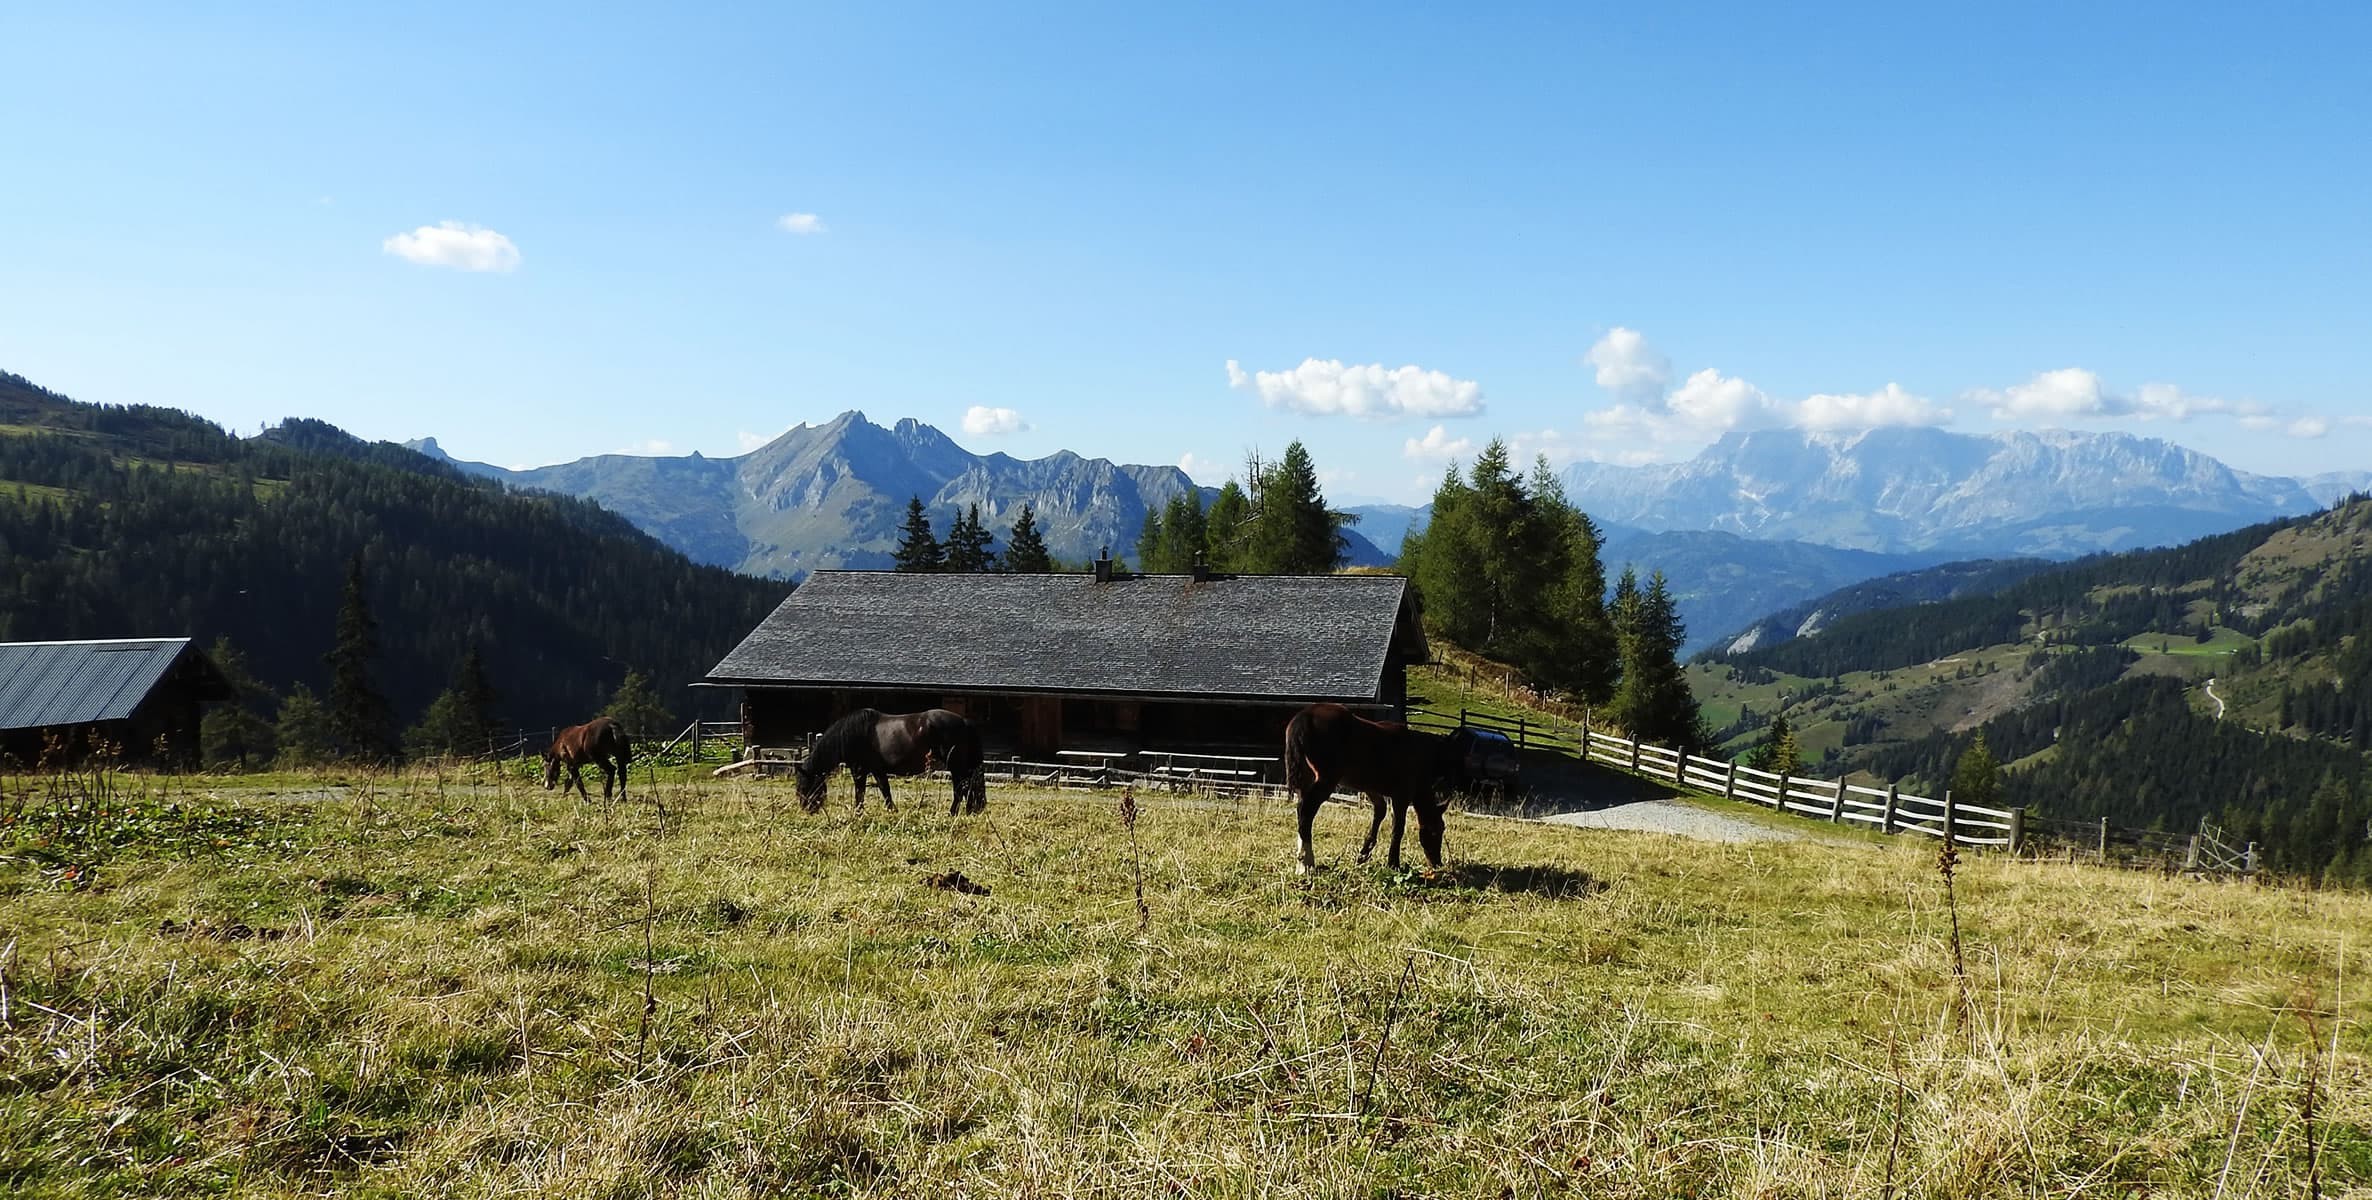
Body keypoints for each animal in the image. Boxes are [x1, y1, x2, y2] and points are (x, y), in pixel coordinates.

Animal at [794, 708, 987, 816]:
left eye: (804, 786)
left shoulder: (860, 770)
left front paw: (859, 813)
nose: (806, 809)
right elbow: (882, 790)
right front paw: (891, 811)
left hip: (956, 766)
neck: (854, 733)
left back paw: (952, 813)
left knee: (960, 789)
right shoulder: (874, 770)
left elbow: (863, 792)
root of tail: (964, 721)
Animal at [1284, 702, 1464, 874]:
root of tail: (1303, 718)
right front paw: (1393, 863)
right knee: (1306, 810)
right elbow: (1398, 827)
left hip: (1307, 777)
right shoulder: (1401, 794)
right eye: (1436, 831)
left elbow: (1380, 811)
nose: (1437, 863)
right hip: (1326, 779)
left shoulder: (1371, 788)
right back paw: (1307, 862)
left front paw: (1364, 853)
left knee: (1302, 808)